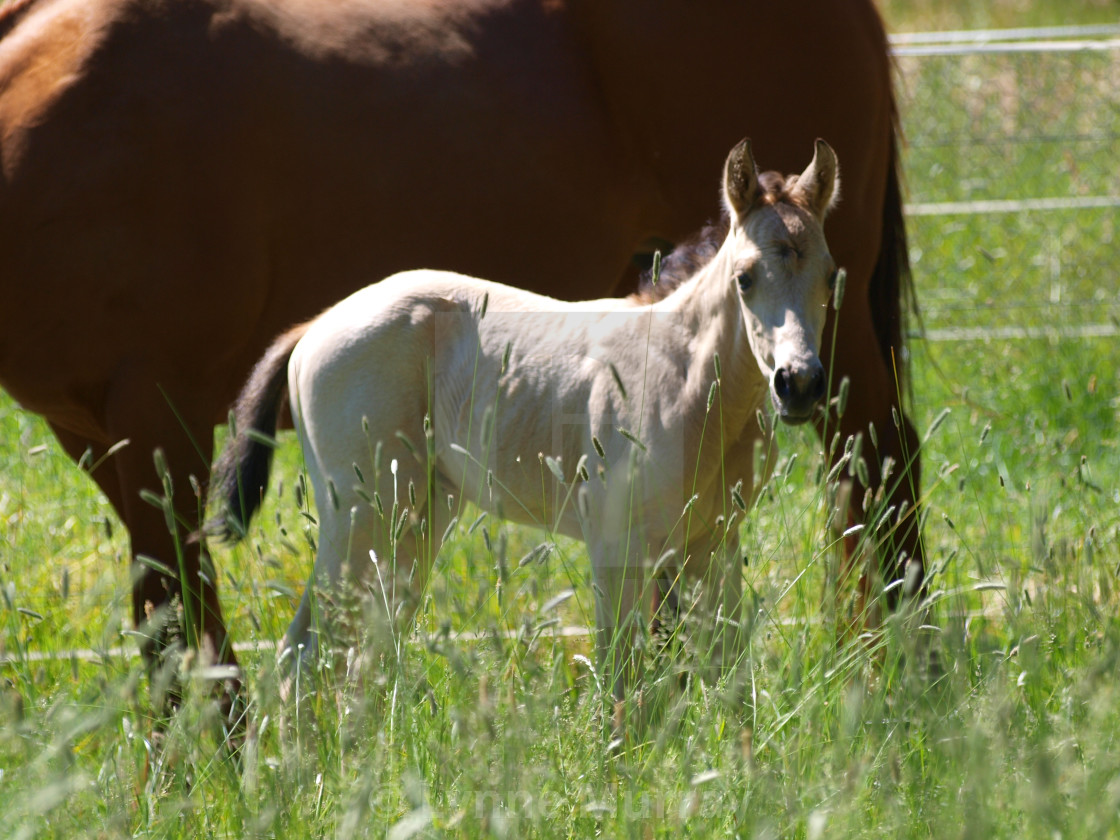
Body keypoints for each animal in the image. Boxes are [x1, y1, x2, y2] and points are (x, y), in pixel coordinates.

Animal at [211, 140, 842, 698]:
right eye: (745, 277)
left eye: (831, 276)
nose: (799, 384)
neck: (682, 375)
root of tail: (314, 326)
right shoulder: (616, 546)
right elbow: (624, 684)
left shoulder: (715, 544)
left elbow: (726, 676)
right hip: (358, 520)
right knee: (303, 658)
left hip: (413, 523)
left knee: (357, 656)